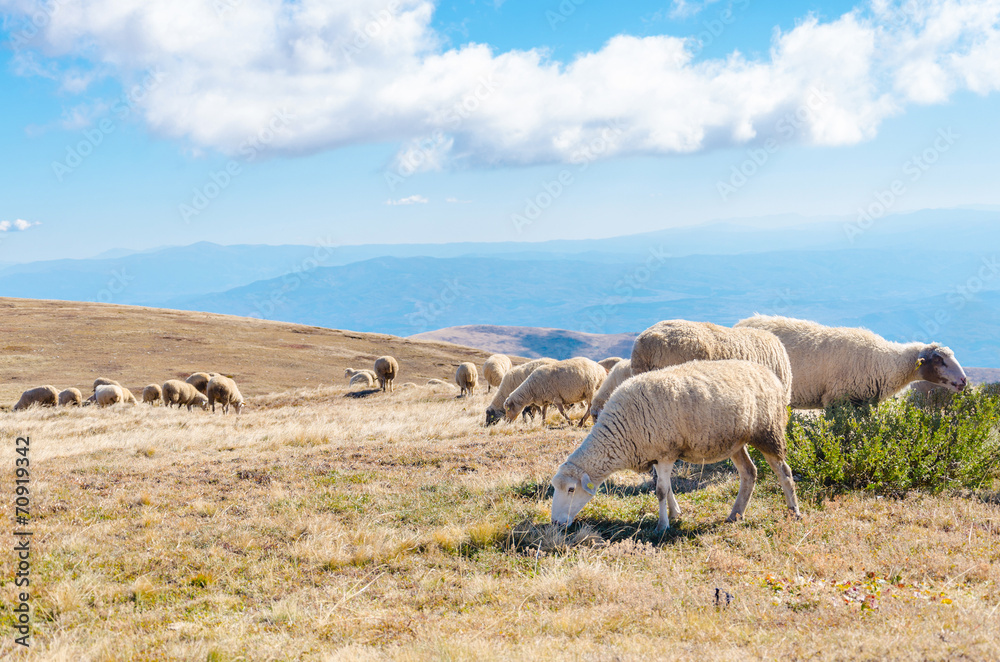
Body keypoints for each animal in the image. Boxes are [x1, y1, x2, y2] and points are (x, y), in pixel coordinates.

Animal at [550, 360, 800, 533]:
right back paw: (735, 515)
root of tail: (769, 374)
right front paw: (675, 514)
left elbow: (661, 490)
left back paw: (794, 512)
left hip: (768, 432)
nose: (555, 523)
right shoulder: (655, 454)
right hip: (735, 442)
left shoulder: (666, 452)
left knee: (784, 472)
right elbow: (666, 487)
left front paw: (662, 526)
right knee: (749, 473)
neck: (621, 432)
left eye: (571, 490)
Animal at [734, 314, 968, 408]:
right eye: (939, 360)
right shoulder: (836, 398)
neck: (883, 360)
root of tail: (741, 323)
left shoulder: (863, 401)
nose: (964, 381)